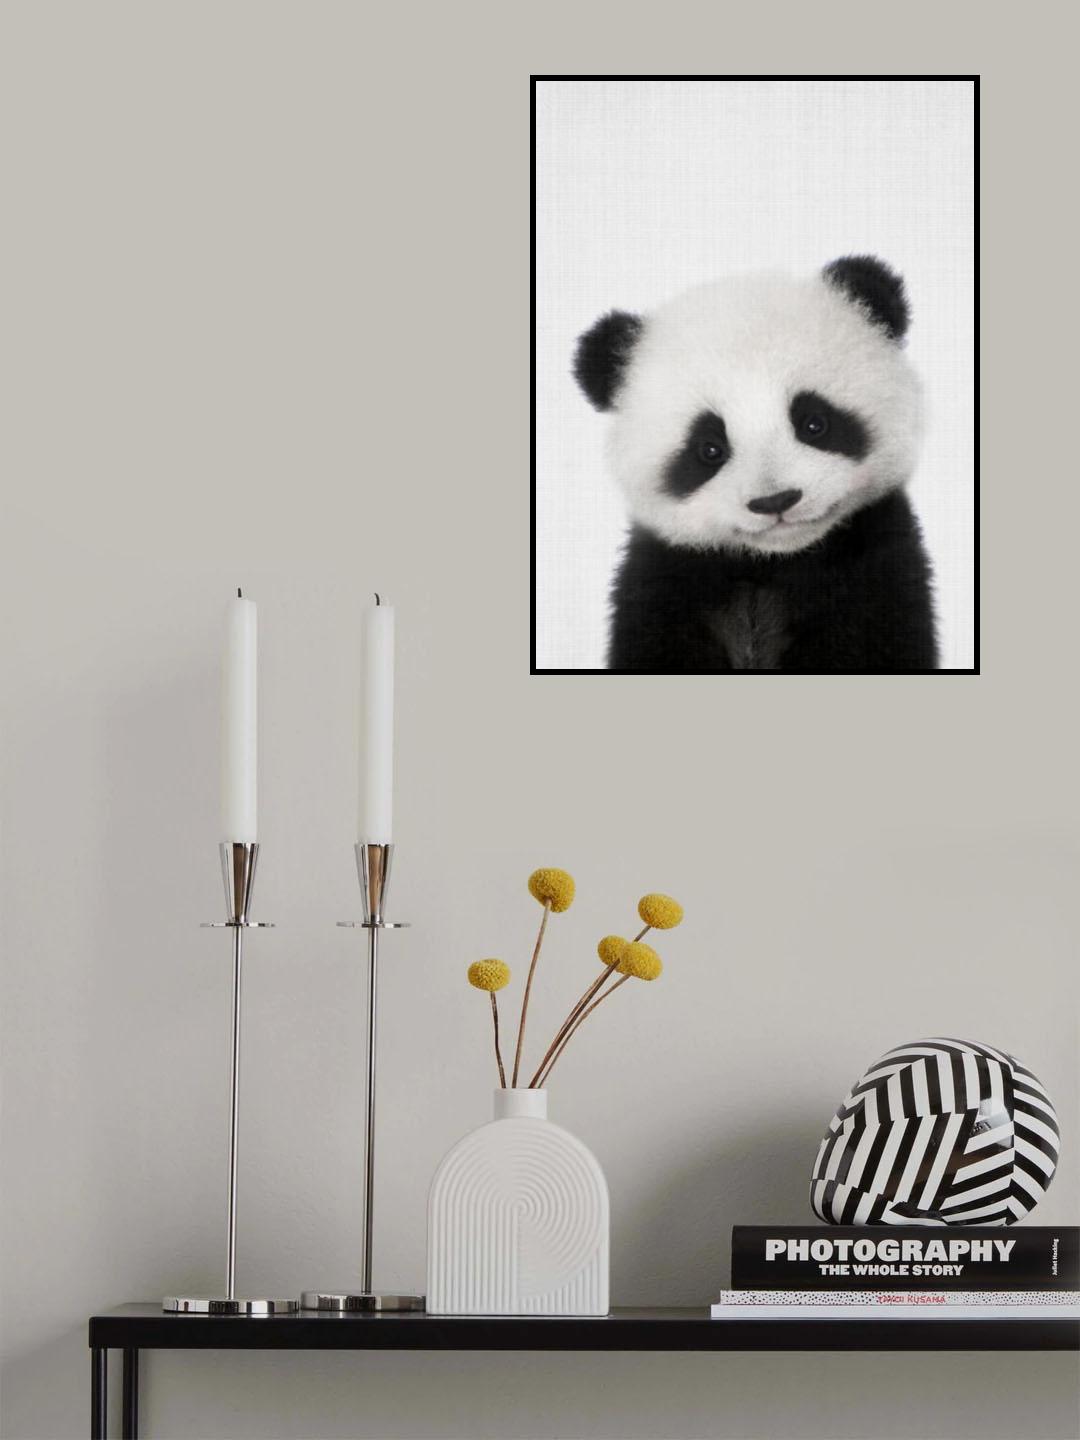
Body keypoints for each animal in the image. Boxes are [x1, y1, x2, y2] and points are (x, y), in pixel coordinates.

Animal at [574, 256, 939, 672]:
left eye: (814, 423)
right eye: (709, 449)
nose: (775, 501)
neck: (770, 562)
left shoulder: (874, 570)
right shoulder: (663, 583)